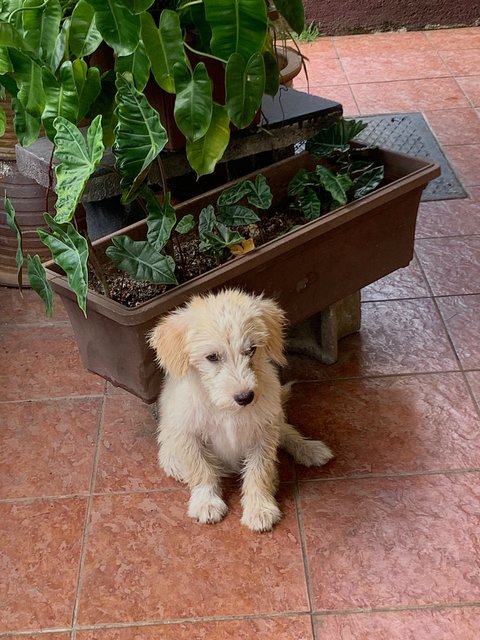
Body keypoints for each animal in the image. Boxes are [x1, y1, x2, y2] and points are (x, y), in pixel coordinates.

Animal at [148, 288, 332, 528]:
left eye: (251, 350)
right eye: (212, 357)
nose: (245, 397)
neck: (225, 409)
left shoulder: (263, 432)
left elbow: (259, 471)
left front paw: (259, 508)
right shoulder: (188, 433)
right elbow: (201, 469)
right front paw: (207, 502)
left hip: (275, 419)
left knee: (287, 433)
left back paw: (310, 449)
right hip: (170, 448)